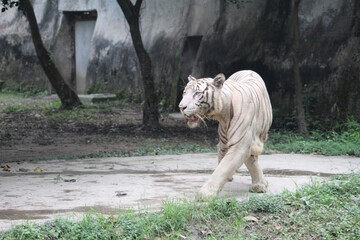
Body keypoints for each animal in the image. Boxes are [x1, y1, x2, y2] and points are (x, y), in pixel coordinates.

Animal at [180, 69, 272, 197]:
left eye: (197, 93)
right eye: (184, 93)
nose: (181, 107)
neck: (223, 112)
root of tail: (247, 70)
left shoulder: (241, 145)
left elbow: (224, 168)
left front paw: (205, 193)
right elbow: (227, 165)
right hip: (223, 140)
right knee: (221, 151)